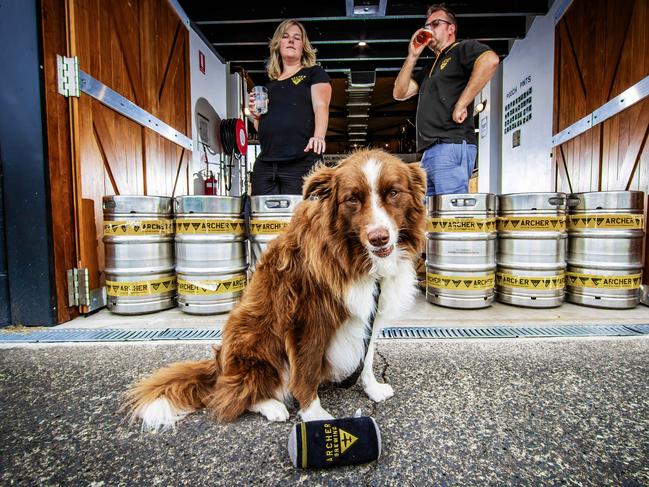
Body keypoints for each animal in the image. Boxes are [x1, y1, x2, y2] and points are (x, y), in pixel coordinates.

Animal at [125, 149, 426, 430]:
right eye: (352, 199)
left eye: (393, 193)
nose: (379, 238)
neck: (354, 257)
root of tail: (219, 366)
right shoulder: (306, 318)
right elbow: (305, 370)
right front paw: (314, 414)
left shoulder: (371, 314)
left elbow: (368, 359)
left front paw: (372, 389)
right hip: (256, 338)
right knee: (233, 394)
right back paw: (271, 406)